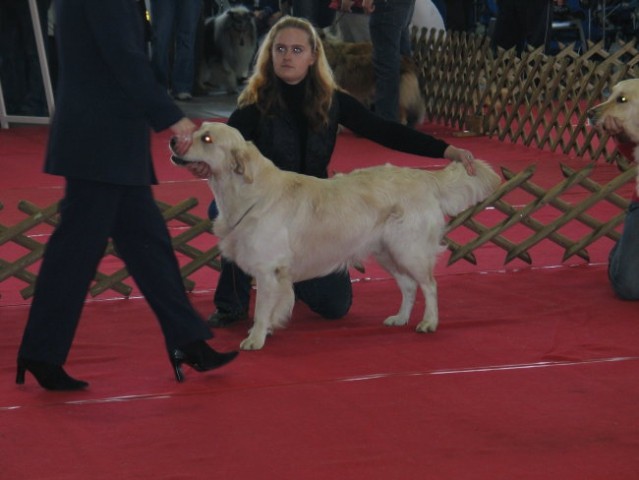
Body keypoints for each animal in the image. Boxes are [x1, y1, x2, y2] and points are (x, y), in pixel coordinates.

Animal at [172, 122, 502, 350]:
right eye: (198, 131)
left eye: (207, 138)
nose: (174, 140)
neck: (247, 192)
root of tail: (423, 175)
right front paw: (266, 330)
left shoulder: (268, 269)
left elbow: (262, 309)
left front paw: (255, 338)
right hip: (387, 252)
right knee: (409, 287)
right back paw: (400, 318)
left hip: (409, 250)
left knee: (429, 285)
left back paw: (429, 322)